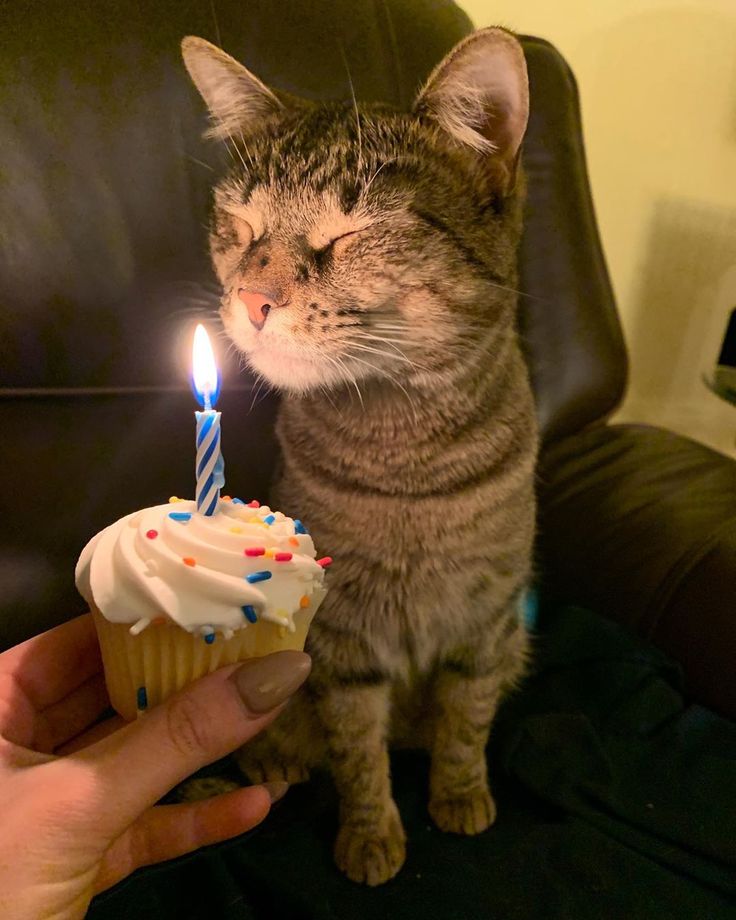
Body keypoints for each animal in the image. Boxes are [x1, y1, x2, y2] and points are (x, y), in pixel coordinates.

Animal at [183, 28, 540, 888]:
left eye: (349, 233)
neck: (407, 463)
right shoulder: (343, 644)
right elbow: (355, 751)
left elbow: (467, 723)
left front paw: (460, 794)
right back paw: (271, 766)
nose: (251, 300)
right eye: (239, 224)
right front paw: (373, 834)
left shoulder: (490, 623)